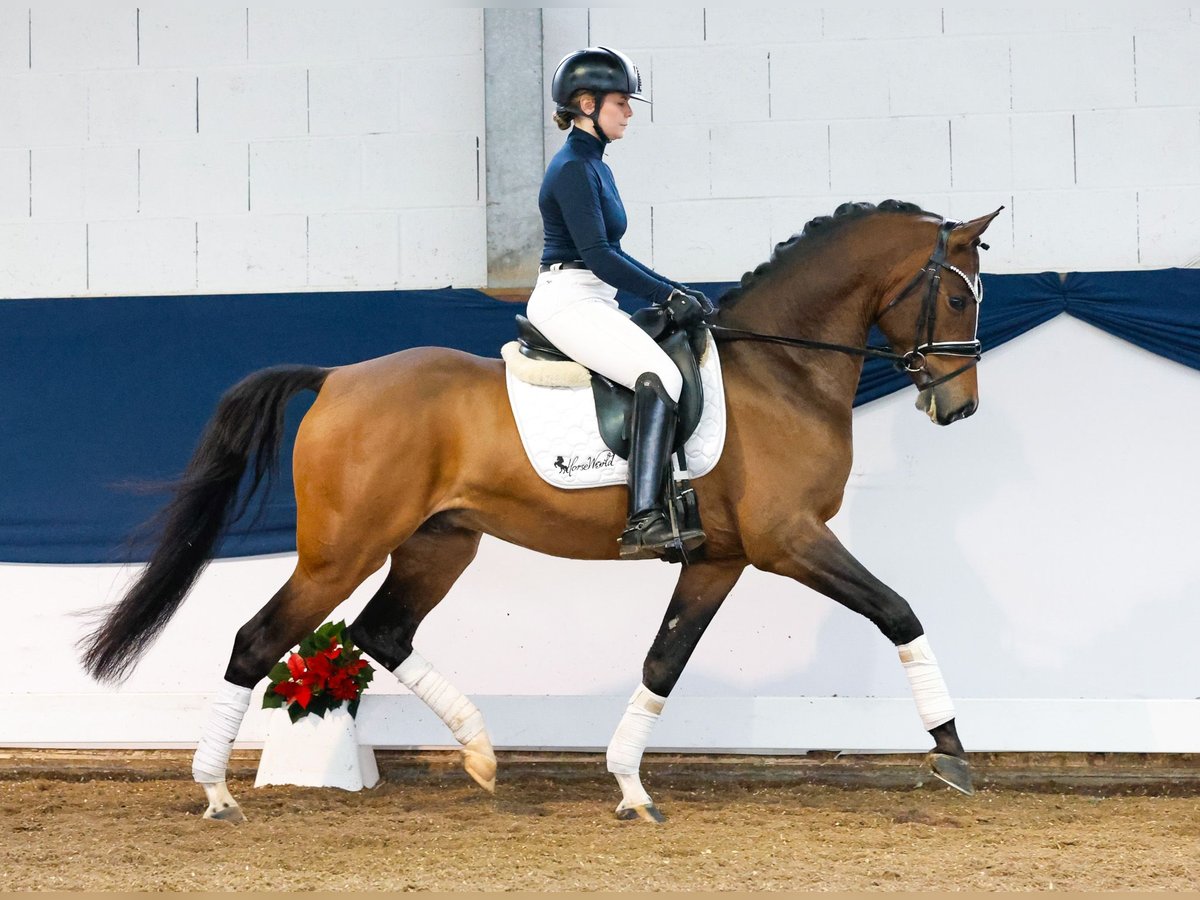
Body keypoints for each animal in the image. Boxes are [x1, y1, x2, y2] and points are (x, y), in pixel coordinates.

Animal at [79, 202, 1003, 825]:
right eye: (960, 300)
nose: (958, 407)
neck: (782, 370)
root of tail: (337, 377)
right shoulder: (790, 540)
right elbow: (898, 611)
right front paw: (951, 754)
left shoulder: (720, 558)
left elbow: (663, 661)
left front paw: (629, 785)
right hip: (341, 551)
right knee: (258, 640)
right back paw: (216, 794)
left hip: (439, 544)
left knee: (381, 632)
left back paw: (482, 754)